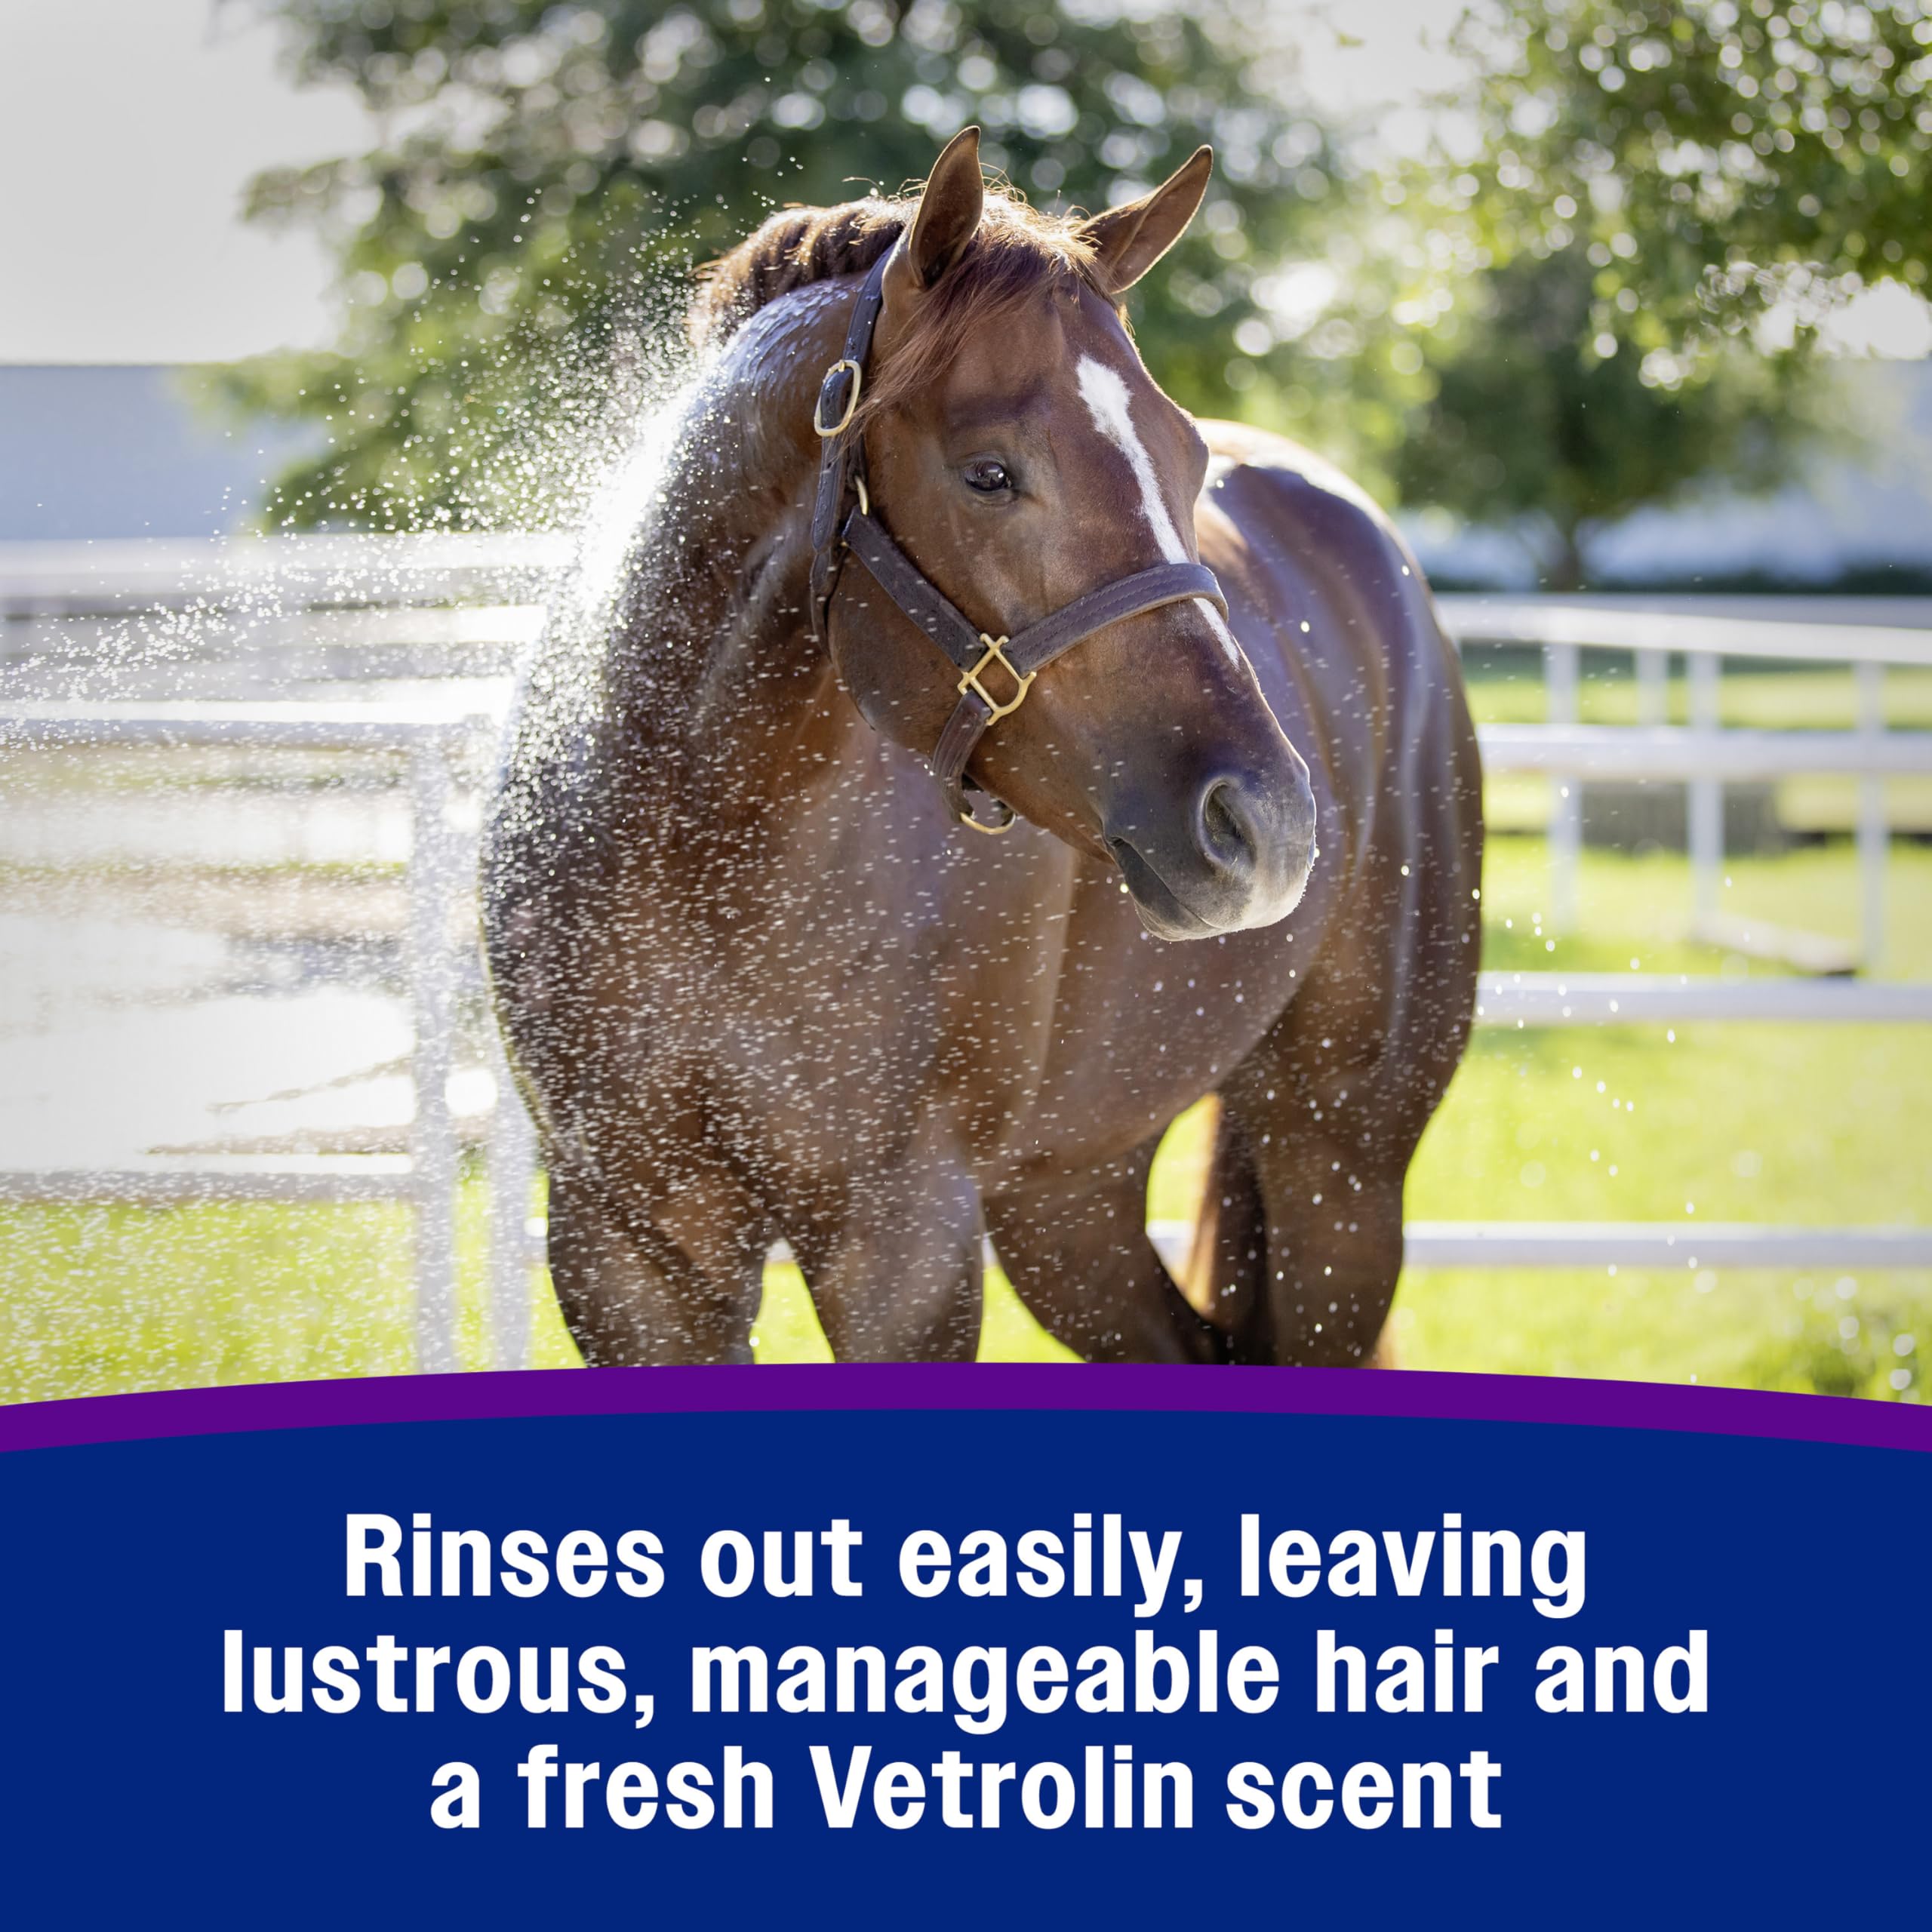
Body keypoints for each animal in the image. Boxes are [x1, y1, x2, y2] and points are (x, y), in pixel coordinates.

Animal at [481, 128, 1482, 1367]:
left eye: (1187, 458)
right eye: (989, 471)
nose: (1269, 824)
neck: (698, 844)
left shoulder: (903, 1250)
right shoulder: (627, 1252)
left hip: (1339, 1166)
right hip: (1069, 1194)